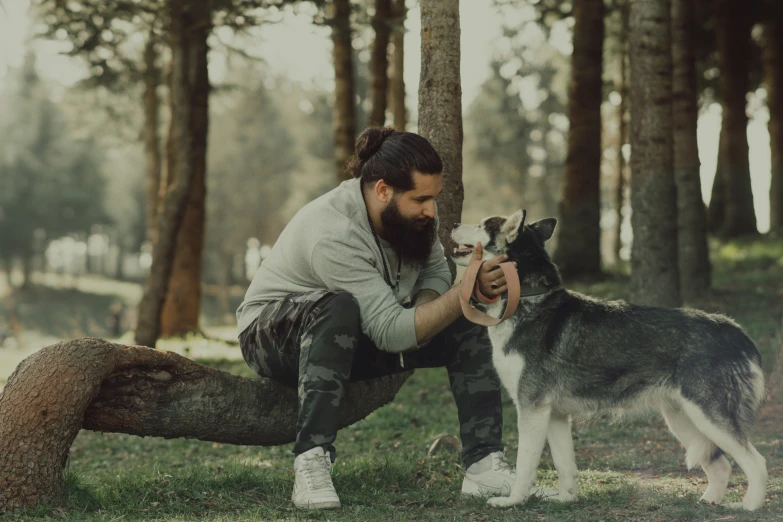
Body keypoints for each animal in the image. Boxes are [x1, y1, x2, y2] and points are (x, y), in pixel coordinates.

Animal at [450, 209, 768, 510]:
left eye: (481, 224)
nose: (451, 224)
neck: (527, 298)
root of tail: (731, 328)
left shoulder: (532, 410)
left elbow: (525, 465)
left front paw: (513, 501)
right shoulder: (554, 415)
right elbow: (565, 466)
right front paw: (565, 500)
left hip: (709, 417)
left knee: (756, 462)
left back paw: (749, 506)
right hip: (685, 420)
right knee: (721, 465)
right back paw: (710, 501)